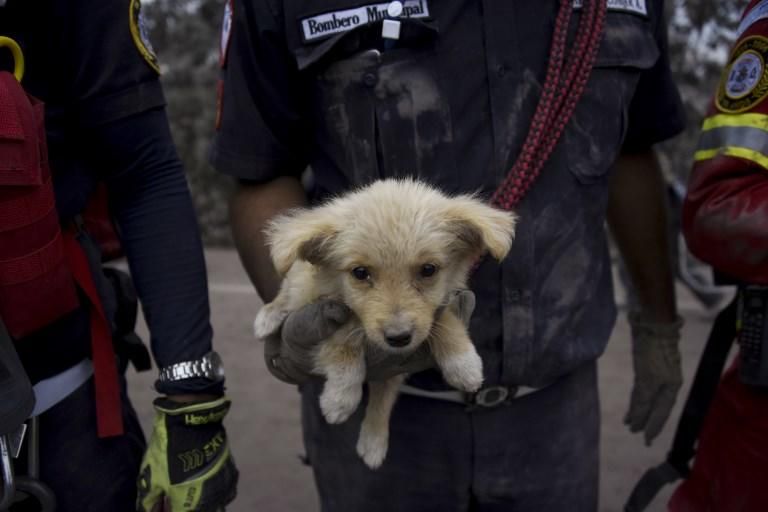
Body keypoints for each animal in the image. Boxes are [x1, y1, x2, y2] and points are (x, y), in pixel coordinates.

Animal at [254, 179, 516, 468]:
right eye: (360, 273)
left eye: (428, 269)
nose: (399, 337)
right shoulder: (322, 310)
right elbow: (345, 339)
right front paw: (340, 398)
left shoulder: (397, 361)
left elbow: (387, 393)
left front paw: (463, 362)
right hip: (298, 279)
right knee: (287, 289)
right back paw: (269, 316)